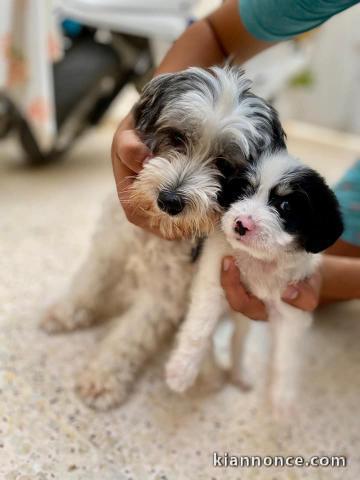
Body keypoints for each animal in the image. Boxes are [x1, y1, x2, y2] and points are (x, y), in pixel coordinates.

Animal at [40, 64, 286, 408]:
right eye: (176, 137)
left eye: (224, 165)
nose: (169, 200)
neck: (159, 231)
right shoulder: (111, 248)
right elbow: (88, 284)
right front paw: (64, 313)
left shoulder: (164, 294)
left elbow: (130, 335)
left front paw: (102, 378)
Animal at [166, 151, 344, 416]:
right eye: (243, 191)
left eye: (285, 206)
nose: (241, 224)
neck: (259, 261)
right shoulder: (212, 286)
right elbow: (198, 330)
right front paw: (181, 370)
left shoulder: (292, 310)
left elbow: (286, 357)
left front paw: (283, 397)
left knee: (237, 340)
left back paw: (238, 374)